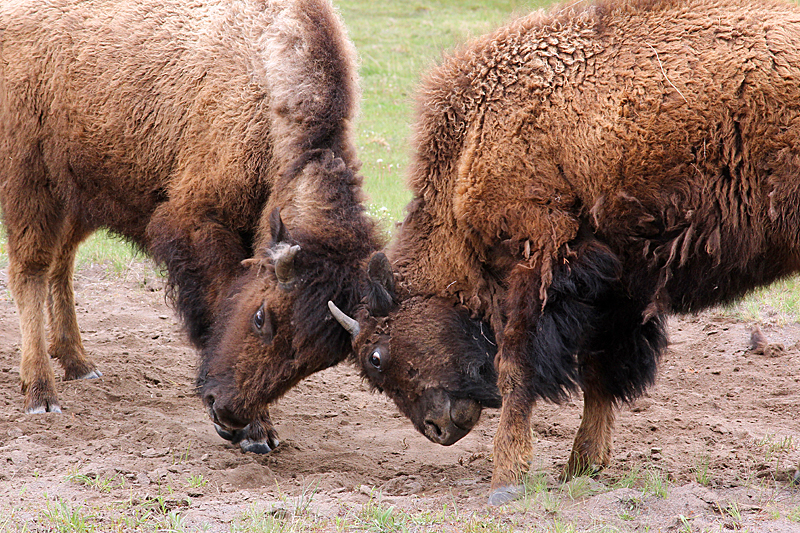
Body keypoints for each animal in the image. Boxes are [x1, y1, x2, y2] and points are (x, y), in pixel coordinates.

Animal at [0, 0, 386, 450]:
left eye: (313, 363)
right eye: (261, 317)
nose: (230, 415)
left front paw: (259, 430)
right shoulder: (198, 222)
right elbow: (217, 303)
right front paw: (256, 429)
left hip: (81, 189)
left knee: (61, 265)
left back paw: (79, 364)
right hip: (31, 180)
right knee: (31, 271)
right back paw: (41, 394)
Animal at [328, 0, 800, 502]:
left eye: (377, 355)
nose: (437, 429)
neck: (476, 138)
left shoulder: (538, 264)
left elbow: (517, 369)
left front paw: (506, 480)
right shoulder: (616, 285)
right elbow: (600, 371)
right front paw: (582, 465)